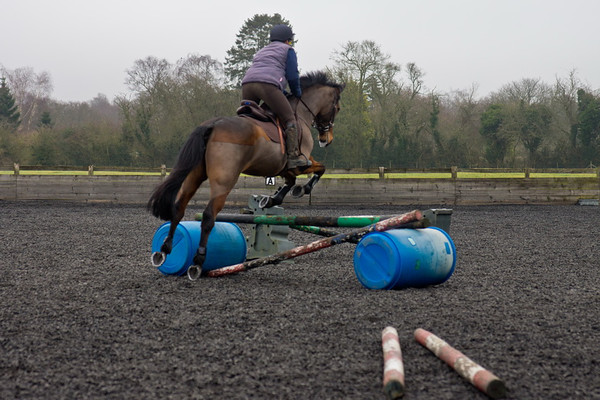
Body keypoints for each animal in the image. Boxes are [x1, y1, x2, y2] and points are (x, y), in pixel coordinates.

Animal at [146, 70, 342, 280]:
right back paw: (197, 262)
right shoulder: (299, 163)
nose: (326, 140)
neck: (300, 114)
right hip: (224, 181)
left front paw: (270, 200)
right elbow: (320, 169)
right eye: (337, 107)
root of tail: (213, 124)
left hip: (194, 176)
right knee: (208, 216)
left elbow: (291, 181)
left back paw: (164, 251)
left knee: (178, 208)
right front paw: (302, 189)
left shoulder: (284, 167)